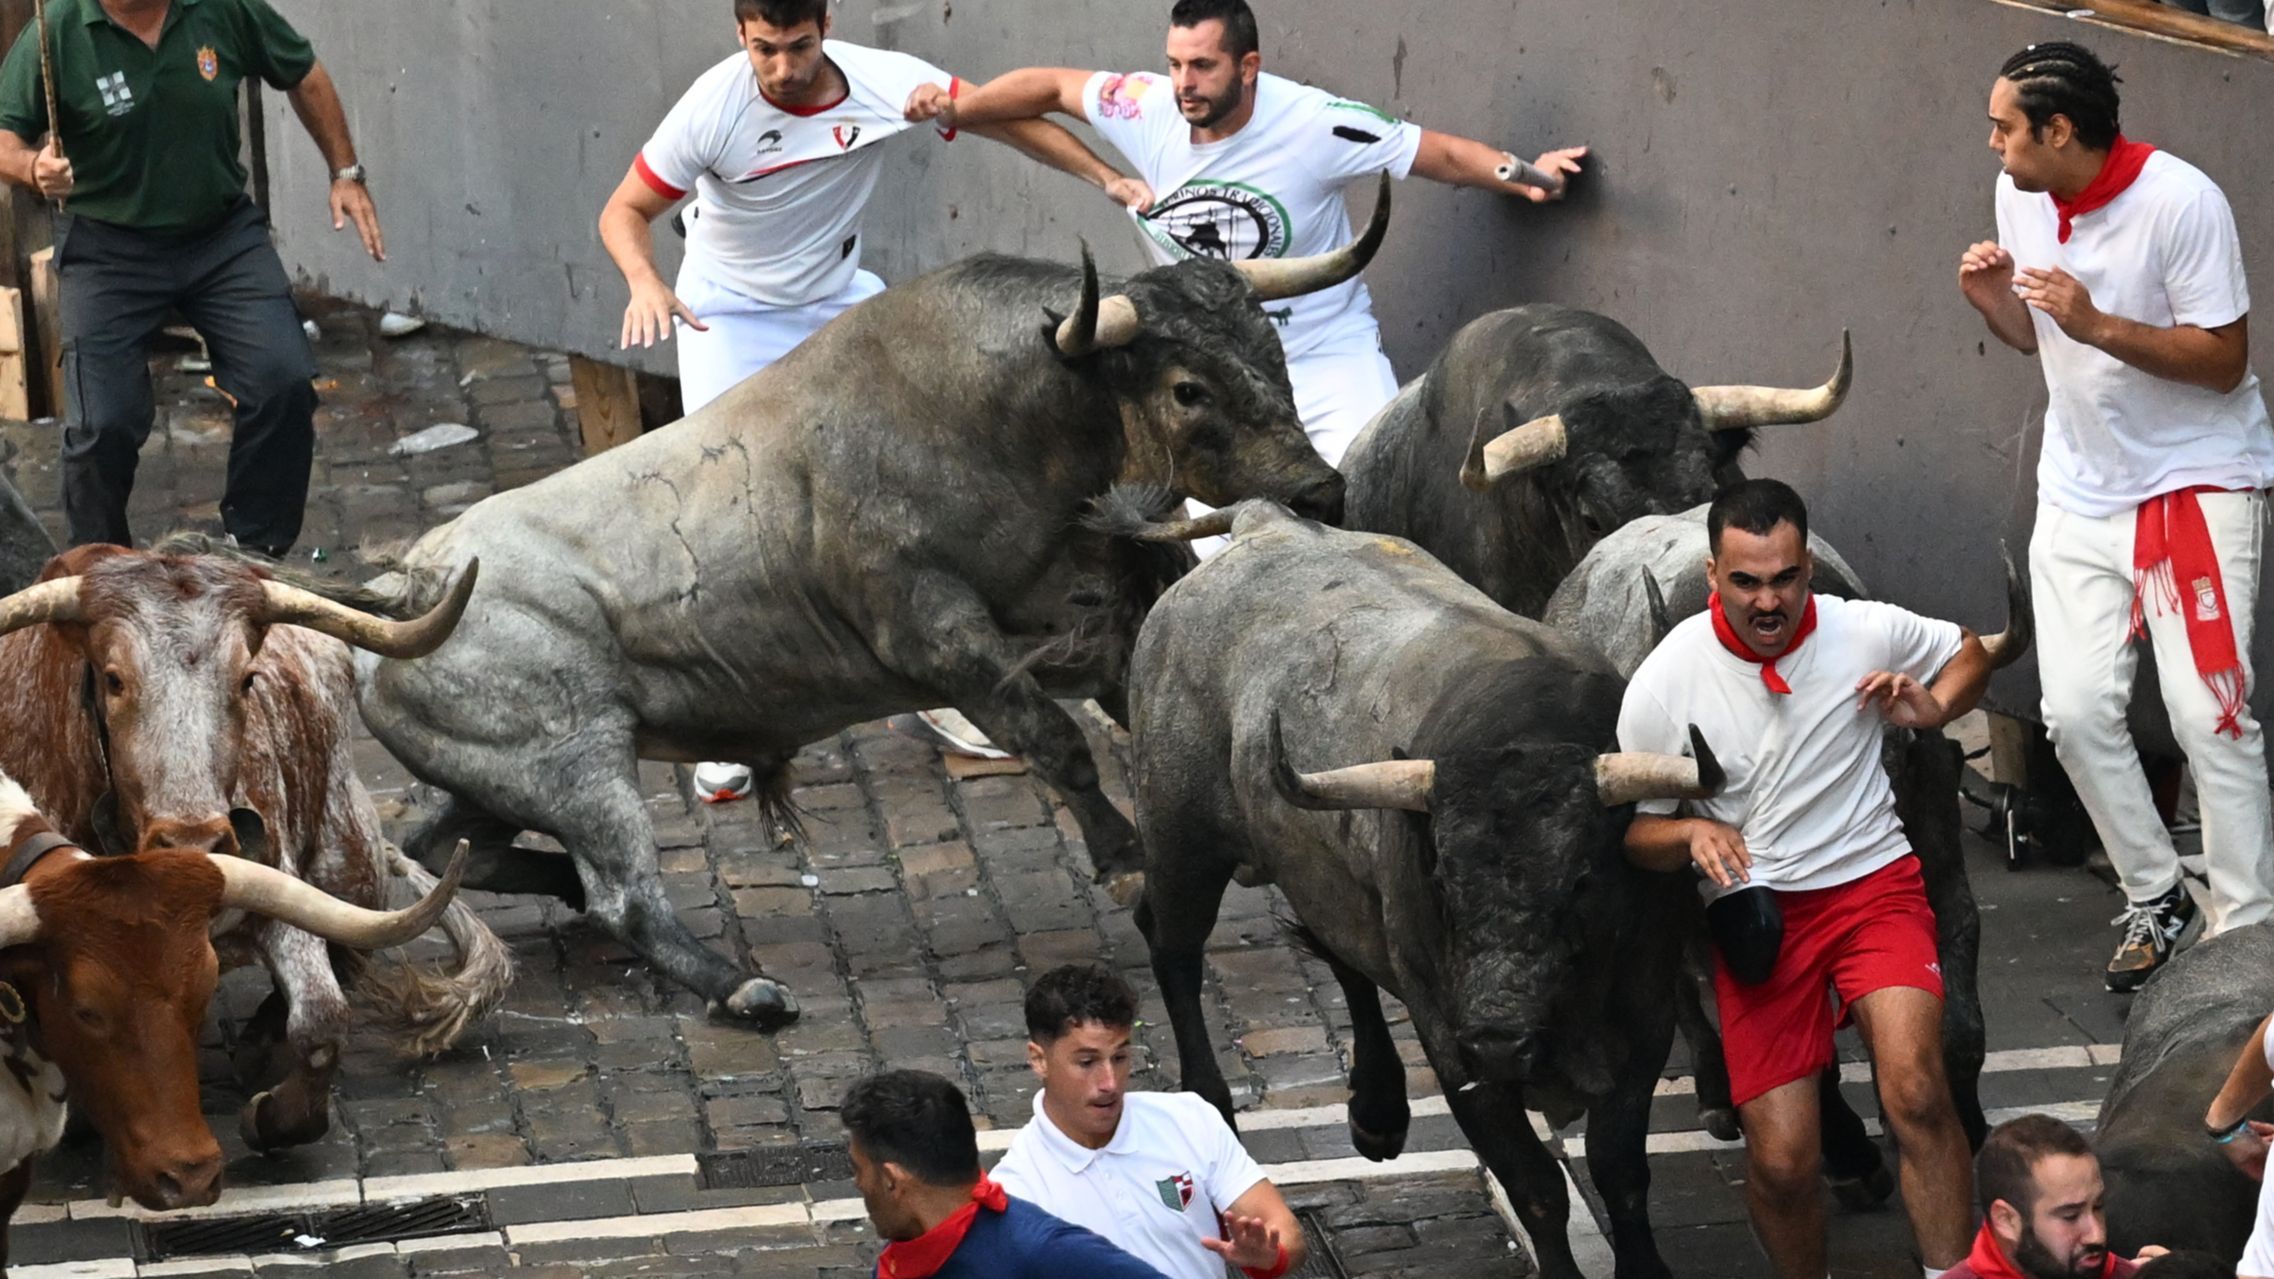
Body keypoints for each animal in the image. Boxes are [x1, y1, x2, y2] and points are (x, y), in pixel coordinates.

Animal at [332, 196, 1382, 1015]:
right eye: (1187, 387)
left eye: (1273, 350)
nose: (1322, 490)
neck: (1006, 423)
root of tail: (408, 584)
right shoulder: (940, 637)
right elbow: (1055, 740)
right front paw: (1126, 858)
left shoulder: (1101, 621)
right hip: (579, 765)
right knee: (622, 894)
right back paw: (742, 987)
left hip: (490, 777)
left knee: (426, 846)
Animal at [1118, 498, 1719, 1274]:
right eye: (1441, 875)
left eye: (1584, 879)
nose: (1499, 1039)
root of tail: (1262, 520)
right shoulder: (1447, 1037)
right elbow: (1536, 1186)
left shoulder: (1645, 1018)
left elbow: (1621, 1171)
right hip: (1179, 836)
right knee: (1173, 947)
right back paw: (1213, 1103)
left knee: (1338, 953)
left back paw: (1377, 1110)